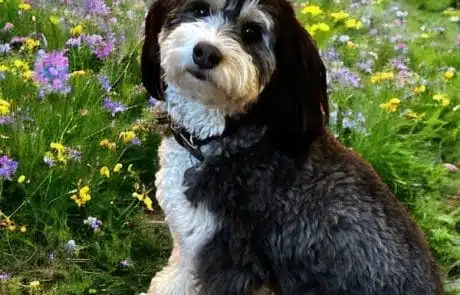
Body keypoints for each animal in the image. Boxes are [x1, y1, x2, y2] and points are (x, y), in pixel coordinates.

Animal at [141, 0, 446, 295]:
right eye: (200, 9)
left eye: (251, 32)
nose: (206, 52)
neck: (218, 136)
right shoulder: (189, 245)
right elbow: (173, 280)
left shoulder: (231, 258)